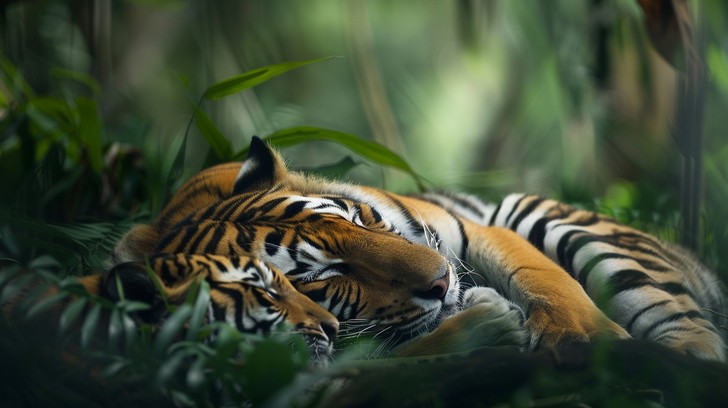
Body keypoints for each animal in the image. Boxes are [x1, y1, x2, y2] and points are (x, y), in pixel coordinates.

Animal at [108, 136, 727, 361]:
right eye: (321, 275)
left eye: (360, 220)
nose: (442, 282)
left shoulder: (474, 229)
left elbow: (544, 278)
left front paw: (581, 338)